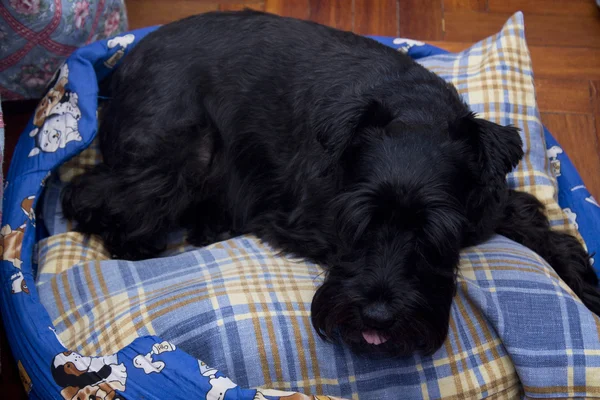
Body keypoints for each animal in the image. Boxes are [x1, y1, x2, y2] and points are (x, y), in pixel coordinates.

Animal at [61, 9, 600, 354]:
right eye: (358, 221)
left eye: (433, 233)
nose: (378, 319)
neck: (415, 109)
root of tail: (122, 66)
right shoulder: (304, 219)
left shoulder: (484, 201)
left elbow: (536, 223)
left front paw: (585, 283)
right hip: (183, 154)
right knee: (90, 196)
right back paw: (141, 243)